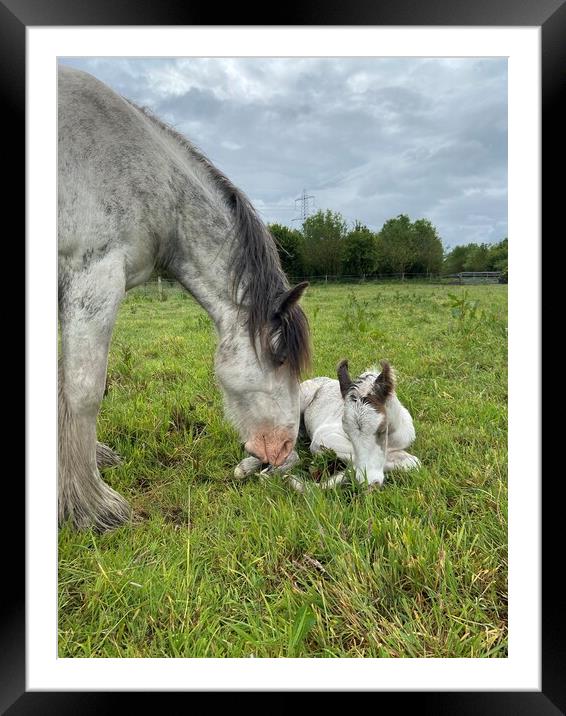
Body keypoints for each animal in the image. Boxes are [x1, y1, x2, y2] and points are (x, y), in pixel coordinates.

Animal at [235, 360, 422, 490]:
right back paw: (249, 468)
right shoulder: (323, 436)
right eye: (346, 430)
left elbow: (413, 463)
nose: (370, 483)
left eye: (382, 429)